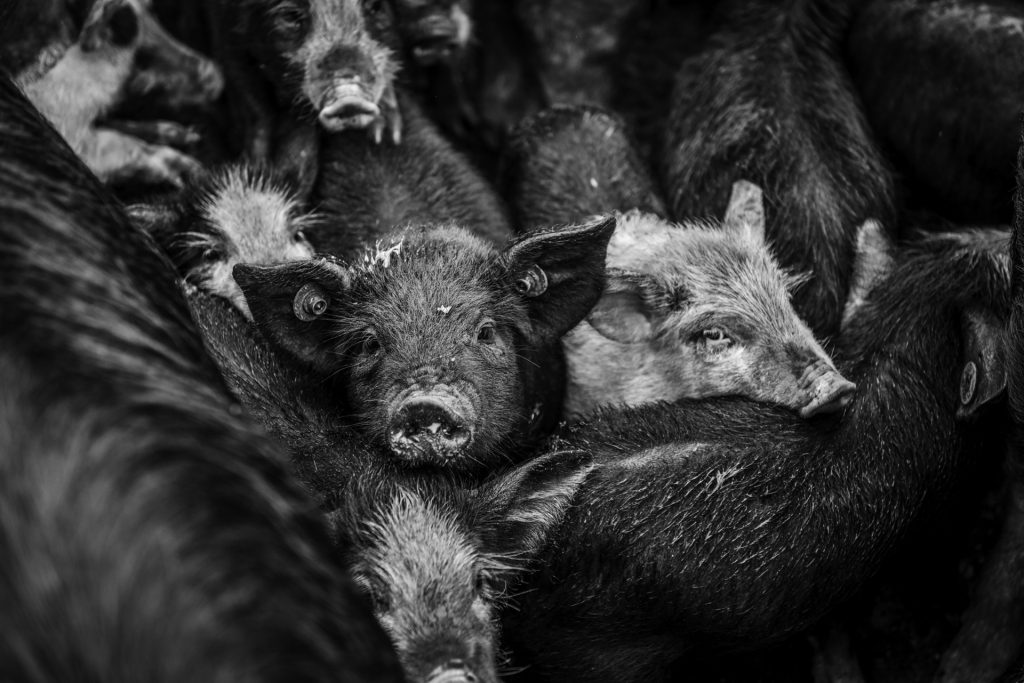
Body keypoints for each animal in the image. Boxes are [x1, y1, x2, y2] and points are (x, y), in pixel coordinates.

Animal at [17, 0, 223, 188]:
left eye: (156, 16)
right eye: (145, 56)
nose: (217, 79)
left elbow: (131, 128)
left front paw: (190, 135)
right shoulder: (75, 134)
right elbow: (129, 147)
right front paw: (194, 171)